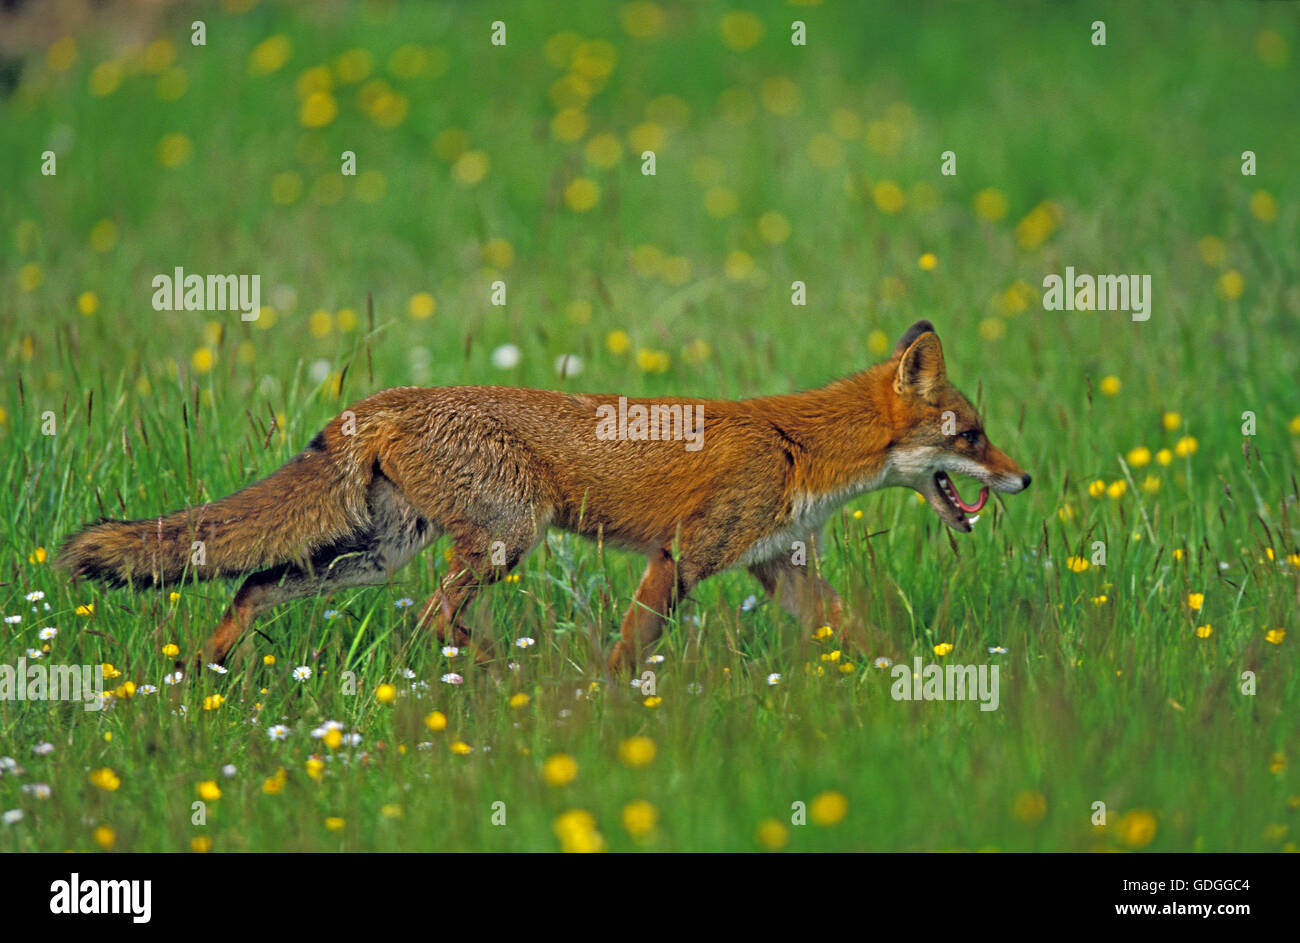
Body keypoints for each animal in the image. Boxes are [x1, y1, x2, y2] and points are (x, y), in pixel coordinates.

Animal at [61, 321, 1029, 671]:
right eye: (974, 435)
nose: (1026, 478)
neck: (801, 450)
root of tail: (387, 399)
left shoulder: (775, 567)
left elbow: (864, 637)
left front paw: (913, 691)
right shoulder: (683, 557)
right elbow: (629, 654)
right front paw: (605, 714)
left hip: (376, 555)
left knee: (255, 582)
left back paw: (203, 670)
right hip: (506, 537)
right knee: (432, 617)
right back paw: (502, 675)